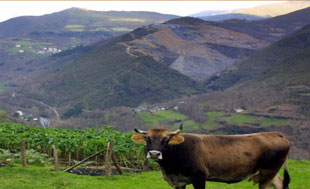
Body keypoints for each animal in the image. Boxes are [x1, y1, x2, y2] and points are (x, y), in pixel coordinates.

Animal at [131, 125, 290, 188]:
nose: (154, 153)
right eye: (148, 139)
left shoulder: (199, 177)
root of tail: (275, 133)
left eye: (166, 140)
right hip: (269, 173)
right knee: (280, 183)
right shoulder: (179, 182)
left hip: (267, 173)